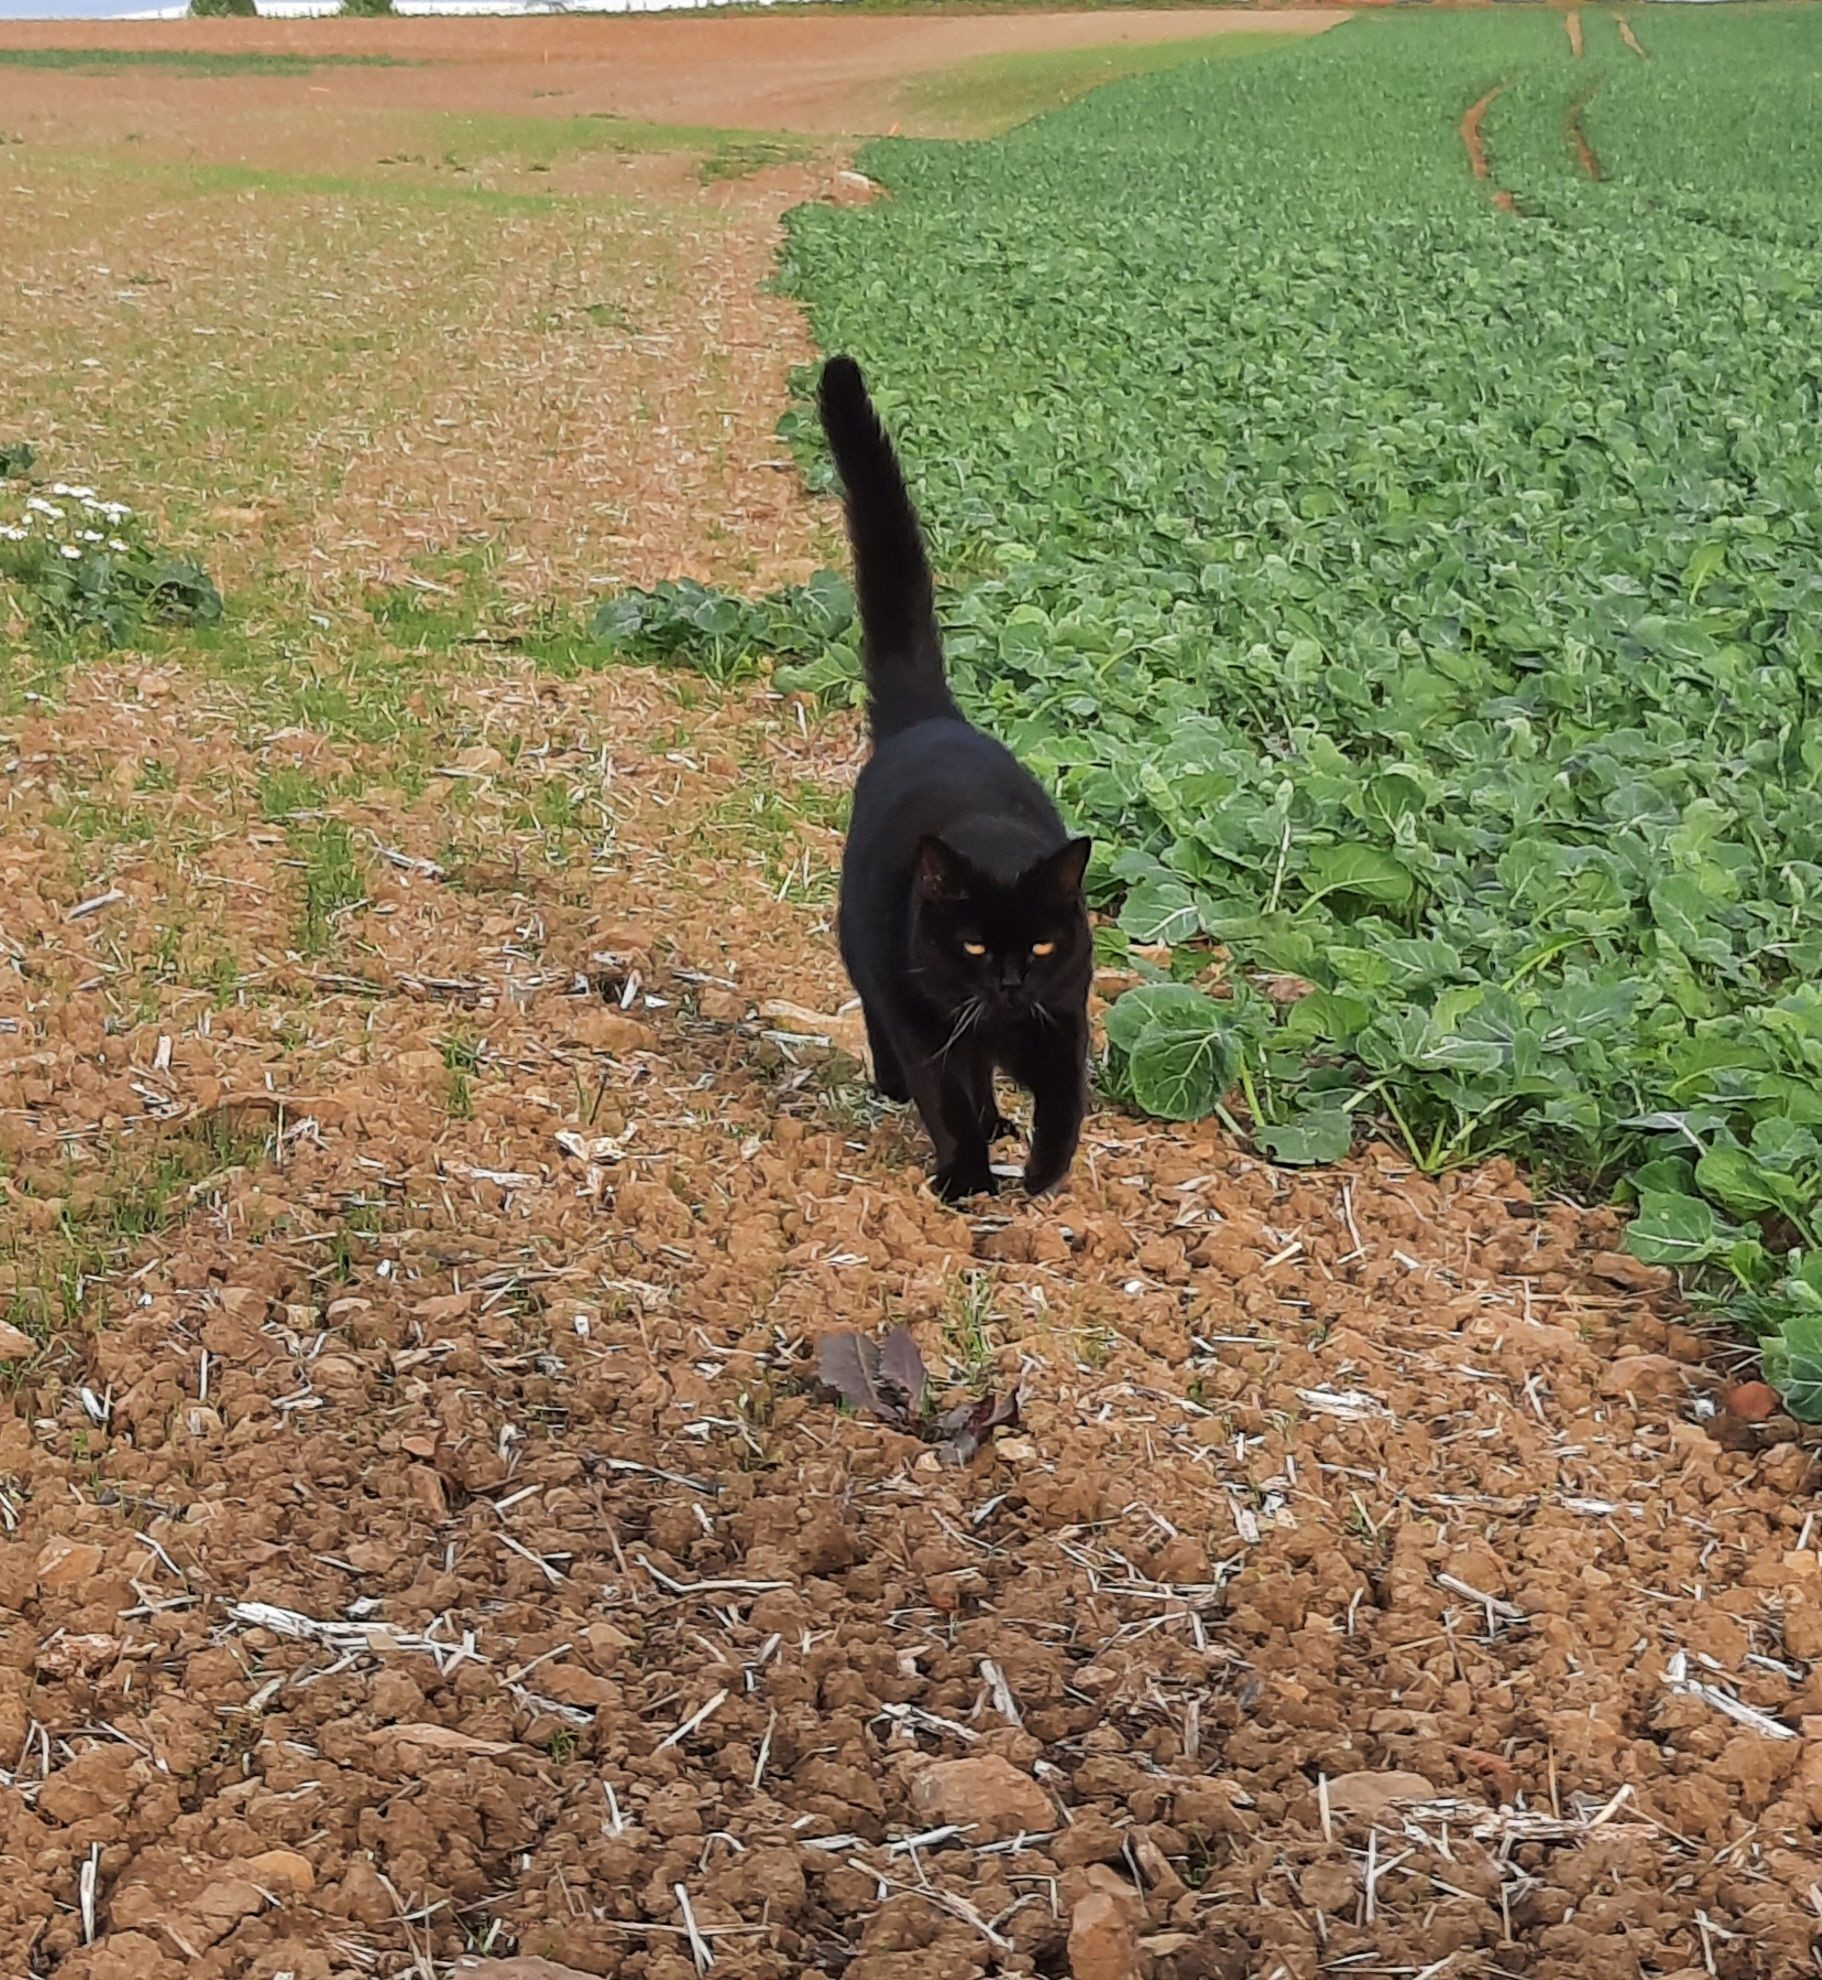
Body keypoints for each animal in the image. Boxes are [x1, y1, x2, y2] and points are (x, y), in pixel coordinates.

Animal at [819, 356, 1085, 1203]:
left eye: (1040, 945)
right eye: (971, 944)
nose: (1007, 981)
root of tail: (931, 719)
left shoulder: (1061, 1015)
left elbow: (1065, 1101)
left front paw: (1040, 1175)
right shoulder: (922, 1020)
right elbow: (945, 1099)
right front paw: (966, 1177)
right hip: (865, 947)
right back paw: (901, 1091)